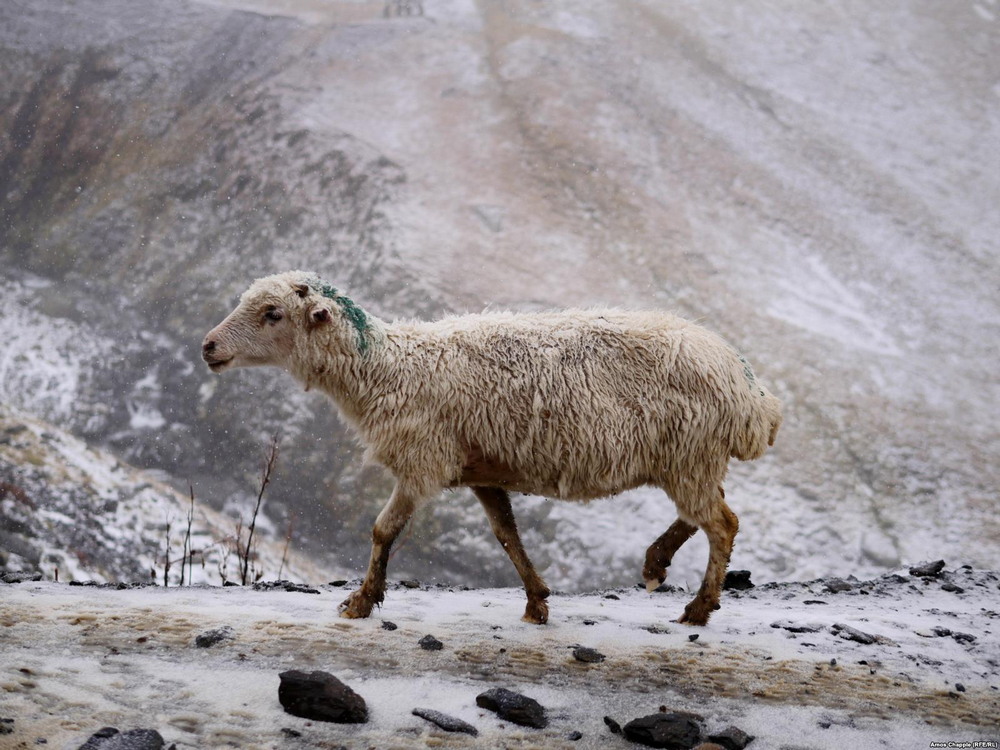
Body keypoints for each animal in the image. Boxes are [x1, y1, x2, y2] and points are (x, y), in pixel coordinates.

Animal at [201, 274, 780, 624]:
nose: (207, 346)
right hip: (689, 459)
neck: (391, 369)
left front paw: (362, 601)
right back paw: (657, 563)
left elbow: (383, 530)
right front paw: (537, 602)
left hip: (689, 454)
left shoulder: (423, 463)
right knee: (707, 514)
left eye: (272, 313)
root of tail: (749, 389)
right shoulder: (481, 470)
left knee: (722, 523)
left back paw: (700, 607)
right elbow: (506, 535)